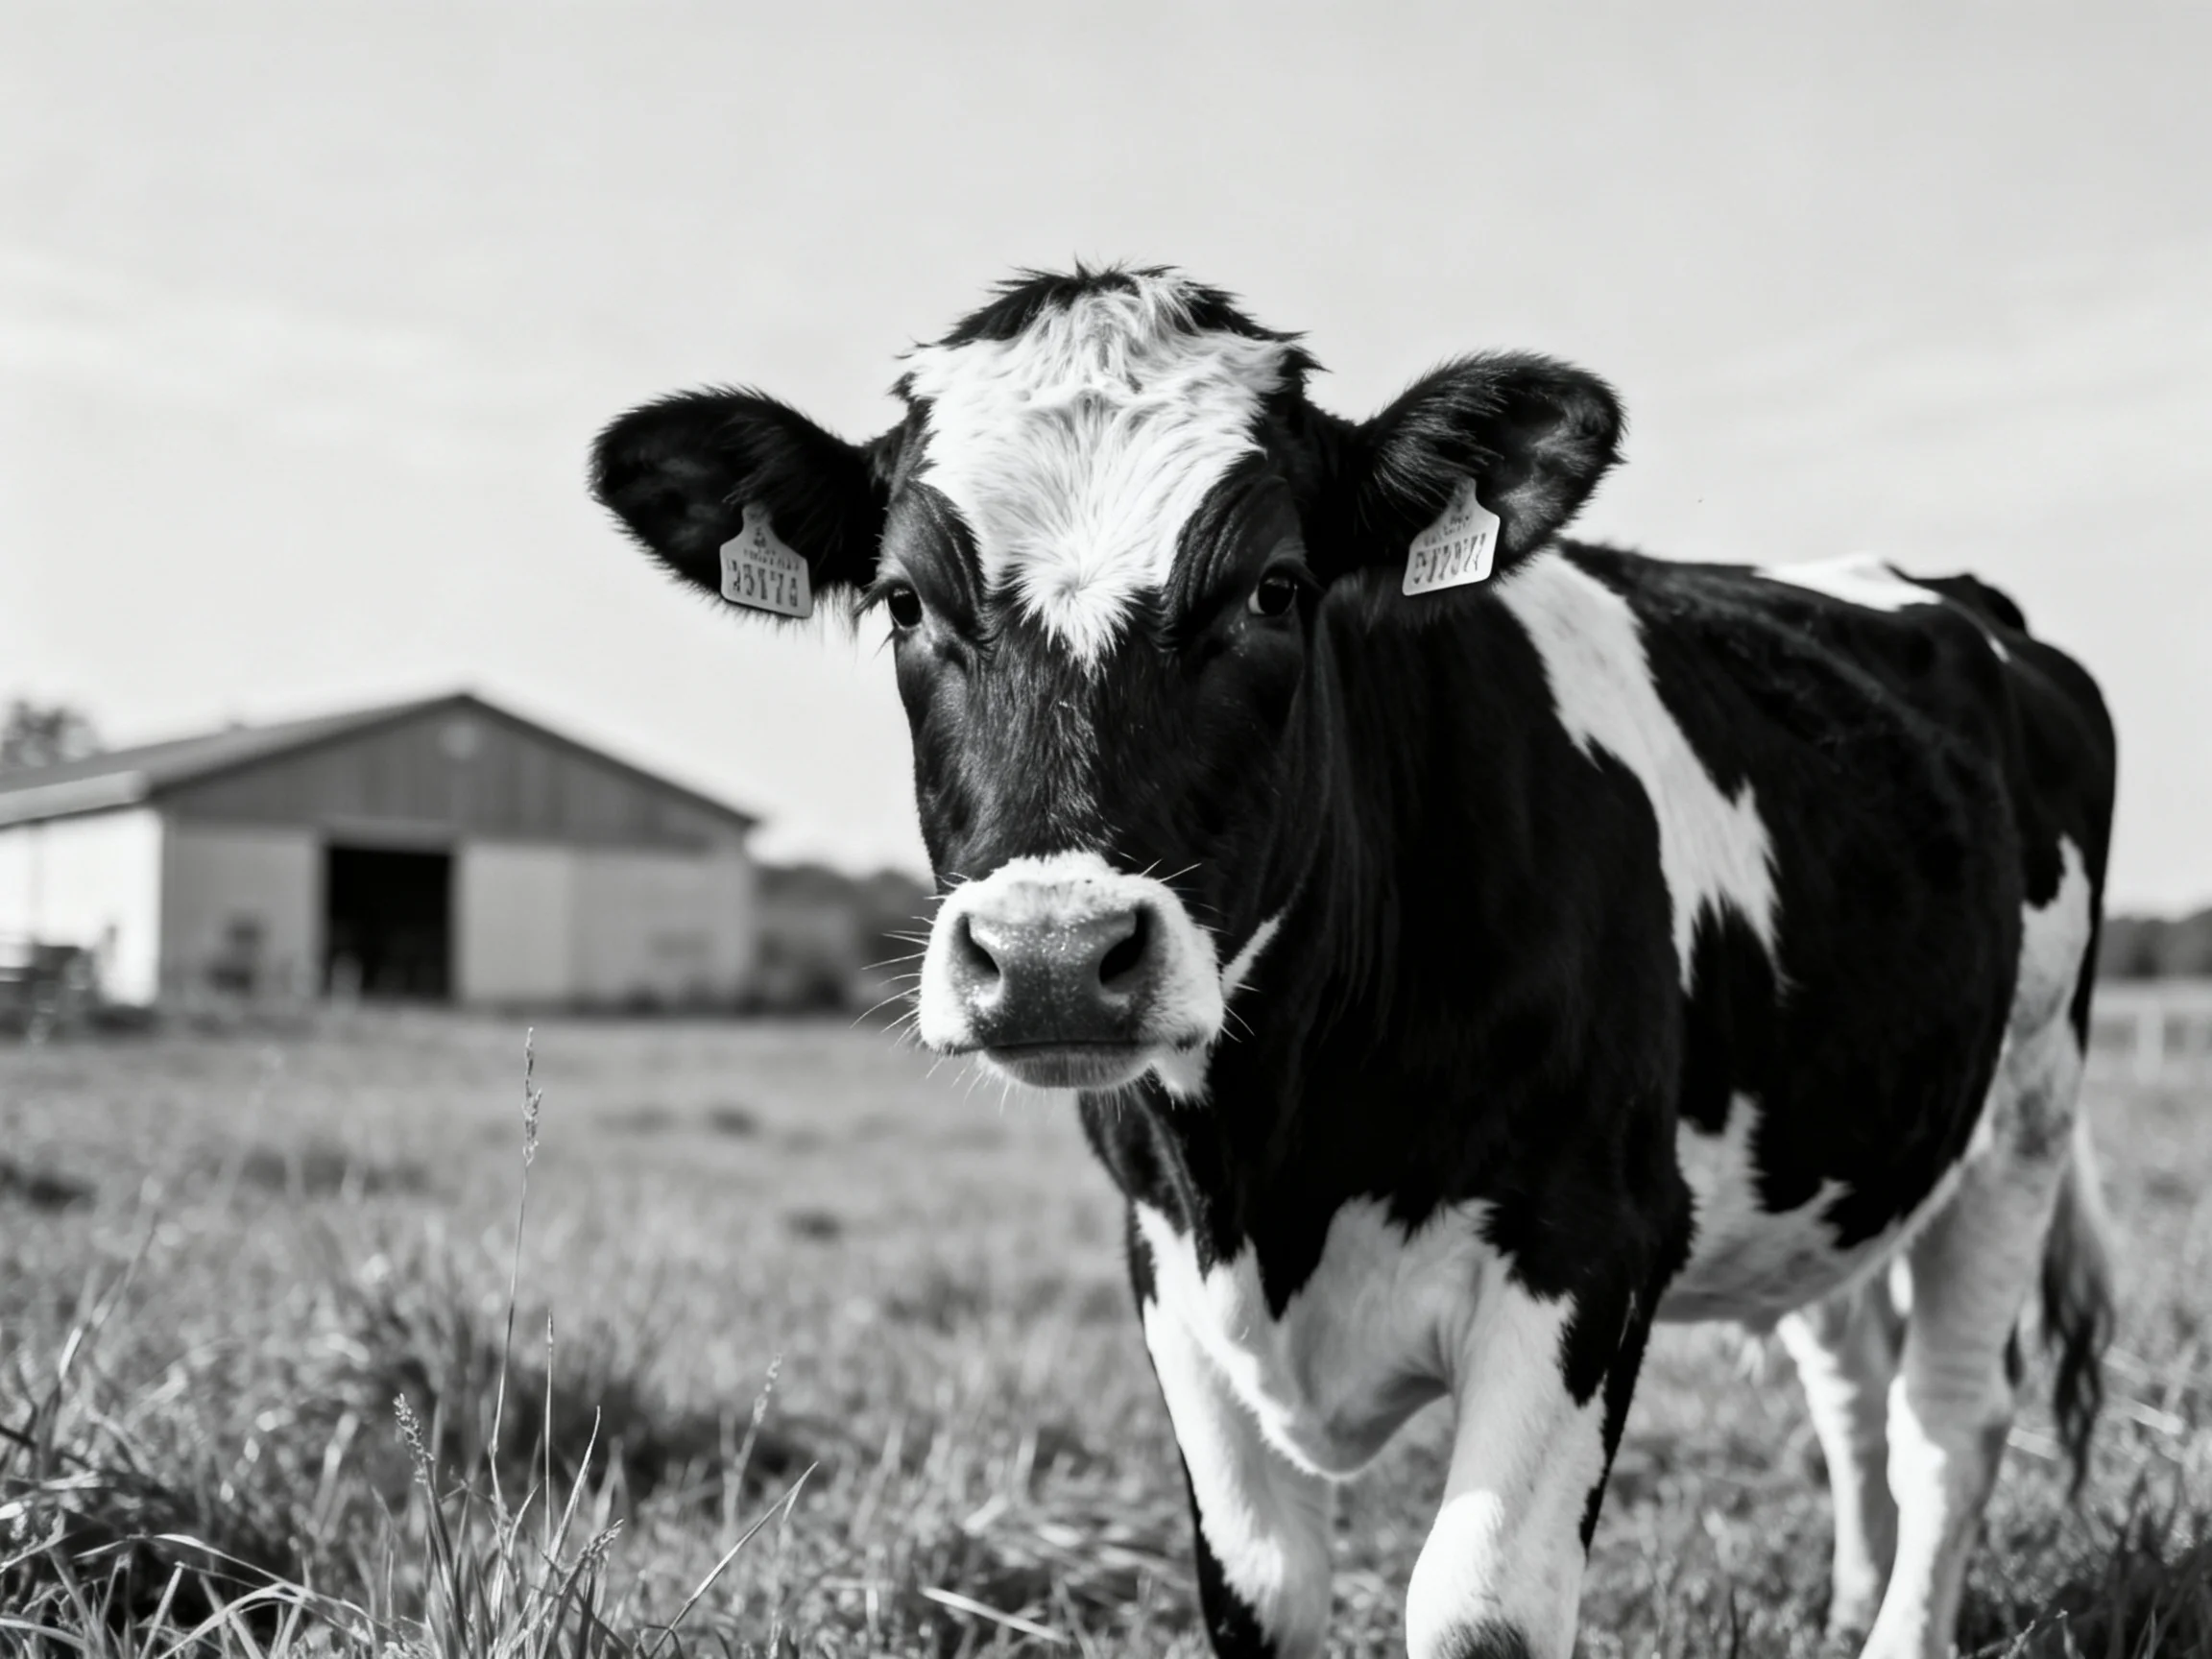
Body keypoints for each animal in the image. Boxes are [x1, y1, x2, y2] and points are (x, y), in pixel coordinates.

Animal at [590, 267, 2118, 1659]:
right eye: (906, 603)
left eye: (1275, 590)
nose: (1053, 955)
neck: (1277, 1160)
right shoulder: (1168, 1264)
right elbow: (1260, 1596)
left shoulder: (1593, 1240)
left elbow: (1480, 1611)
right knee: (1850, 1380)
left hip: (2025, 1114)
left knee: (1949, 1420)